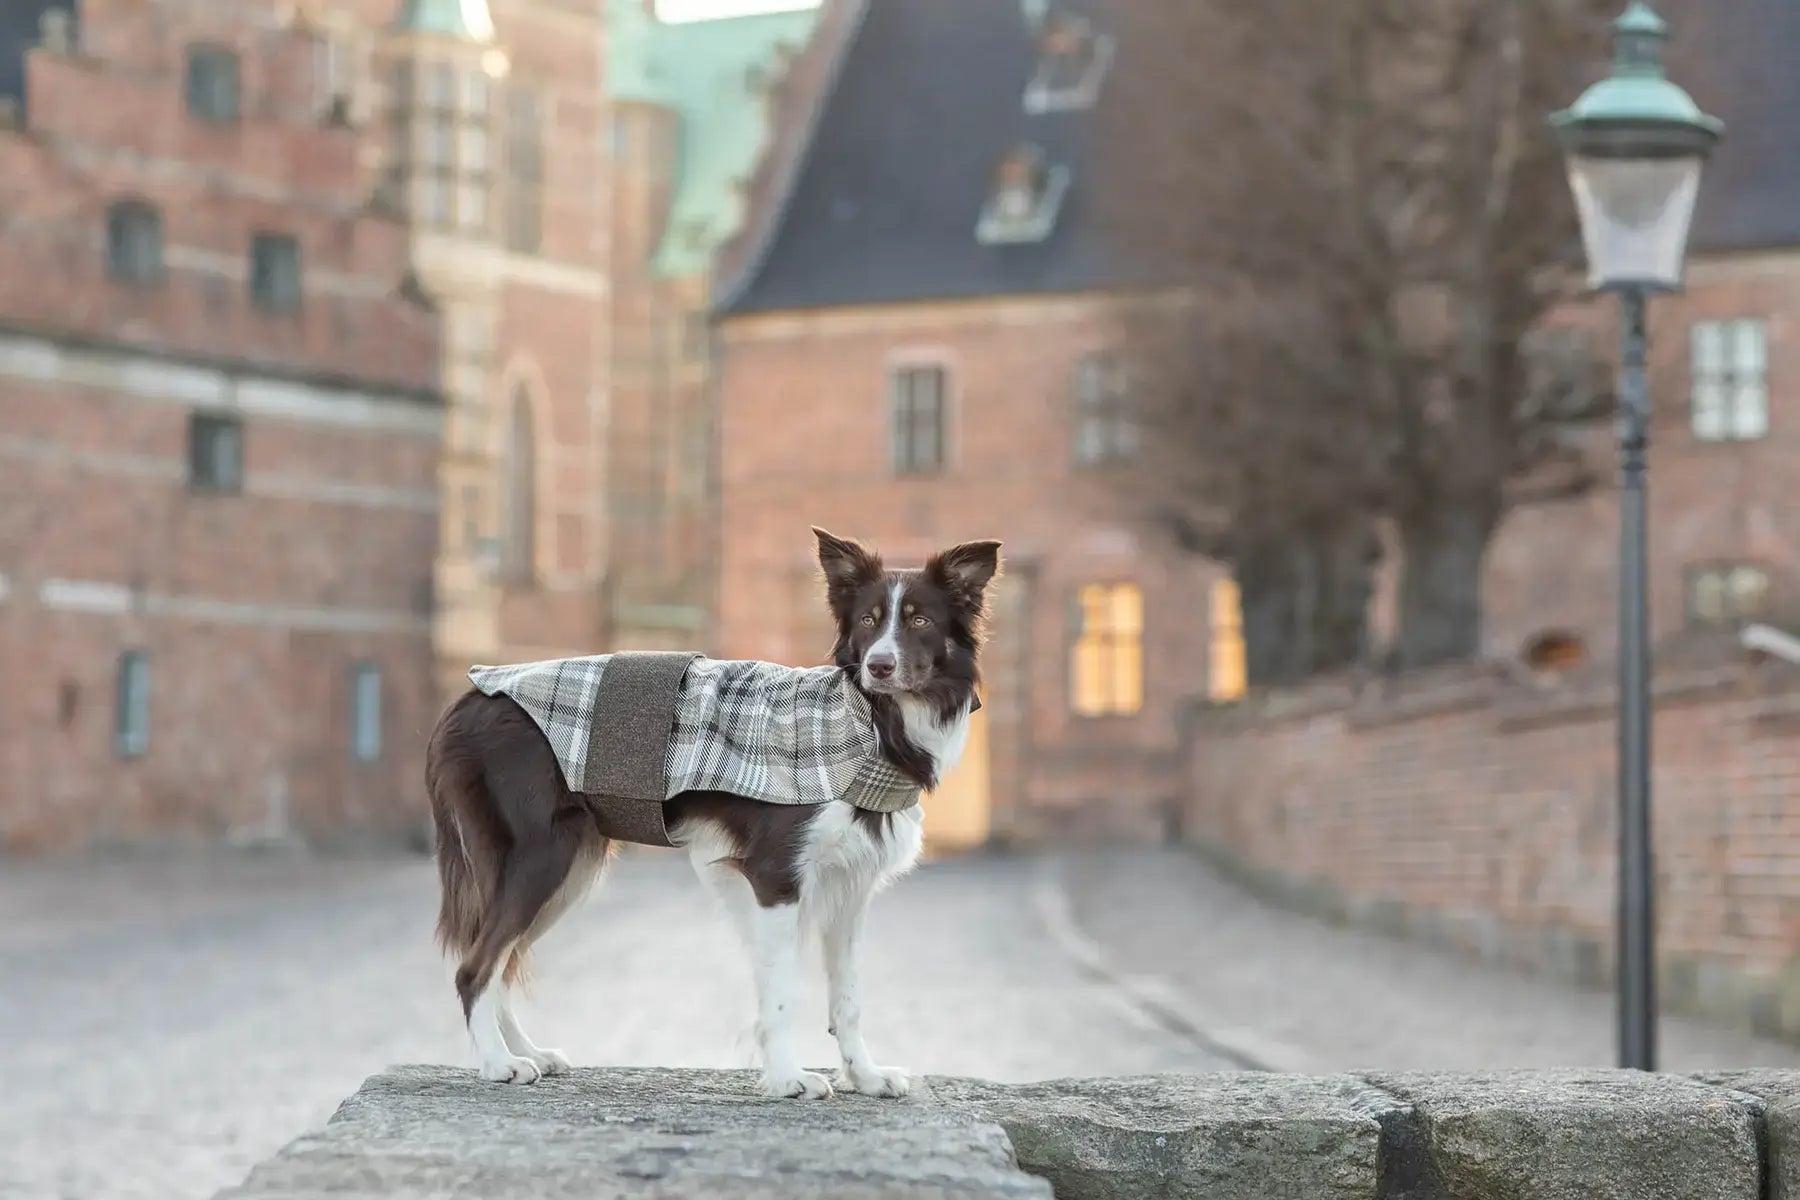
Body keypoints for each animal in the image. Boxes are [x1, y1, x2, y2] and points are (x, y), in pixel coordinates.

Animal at [428, 525, 1008, 1101]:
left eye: (919, 620)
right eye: (868, 620)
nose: (879, 666)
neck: (871, 724)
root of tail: (472, 697)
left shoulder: (850, 891)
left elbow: (848, 999)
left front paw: (864, 1076)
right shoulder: (776, 877)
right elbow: (781, 990)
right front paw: (786, 1077)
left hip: (569, 872)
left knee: (501, 962)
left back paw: (526, 1052)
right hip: (543, 858)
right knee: (476, 967)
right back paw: (498, 1063)